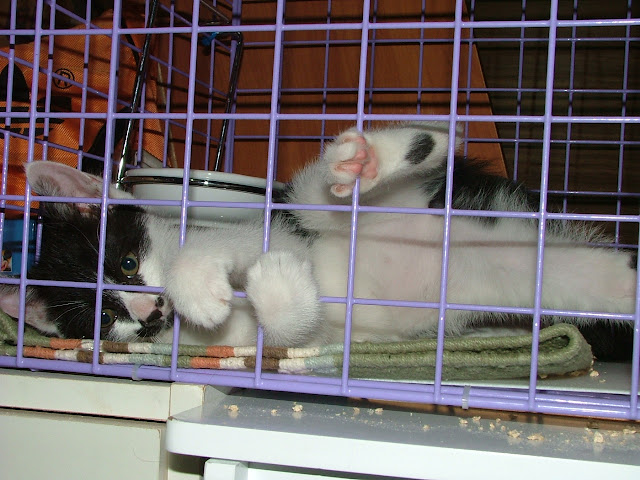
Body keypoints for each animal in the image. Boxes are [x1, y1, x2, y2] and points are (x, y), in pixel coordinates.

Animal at [0, 122, 636, 359]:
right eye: (103, 319)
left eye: (129, 261)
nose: (149, 311)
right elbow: (297, 332)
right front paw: (282, 290)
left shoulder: (263, 225)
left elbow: (218, 247)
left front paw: (200, 284)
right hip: (531, 276)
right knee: (601, 278)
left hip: (313, 202)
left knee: (320, 196)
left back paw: (382, 157)